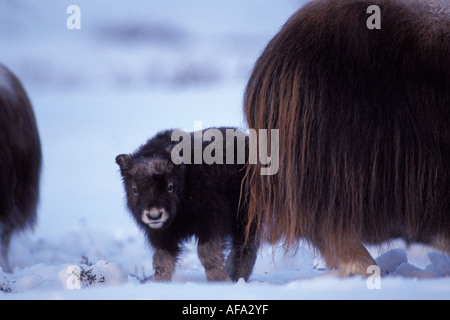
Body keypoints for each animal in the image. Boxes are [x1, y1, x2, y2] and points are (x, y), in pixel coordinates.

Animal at [115, 129, 256, 282]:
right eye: (135, 189)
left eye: (170, 186)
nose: (154, 216)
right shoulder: (161, 235)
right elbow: (162, 260)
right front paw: (159, 282)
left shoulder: (211, 222)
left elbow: (207, 254)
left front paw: (218, 281)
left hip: (244, 219)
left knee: (244, 247)